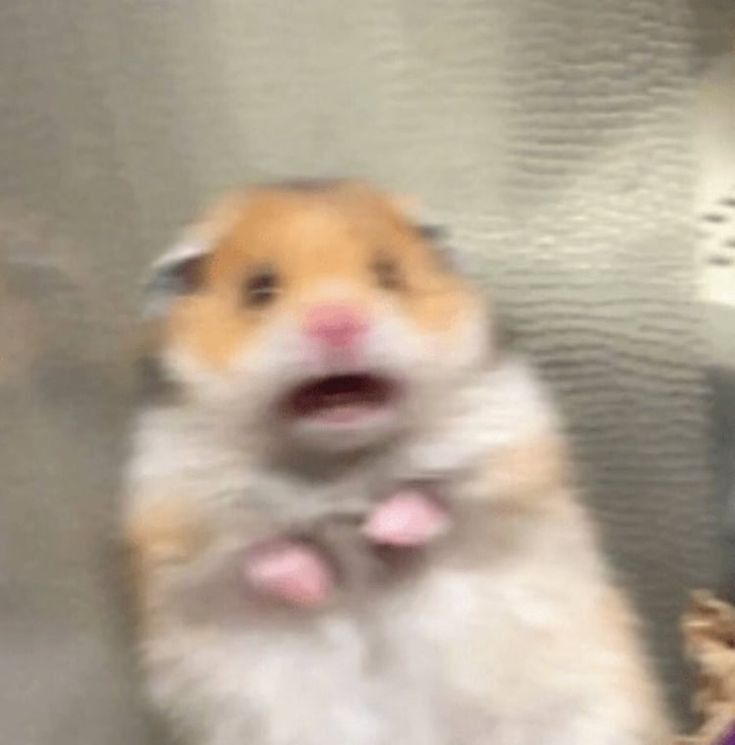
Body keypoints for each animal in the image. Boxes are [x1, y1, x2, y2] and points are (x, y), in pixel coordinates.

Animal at [123, 180, 671, 745]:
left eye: (388, 276)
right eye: (259, 290)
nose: (338, 324)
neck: (339, 463)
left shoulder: (511, 454)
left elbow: (433, 497)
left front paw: (382, 531)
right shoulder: (175, 517)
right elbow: (261, 552)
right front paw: (317, 586)